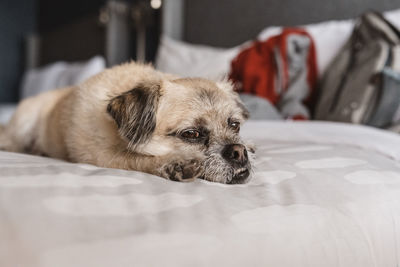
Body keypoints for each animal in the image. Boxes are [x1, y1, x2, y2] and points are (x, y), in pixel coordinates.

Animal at [0, 62, 253, 184]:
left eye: (235, 125)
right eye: (191, 134)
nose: (239, 151)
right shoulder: (103, 156)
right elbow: (136, 158)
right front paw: (173, 163)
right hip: (22, 126)